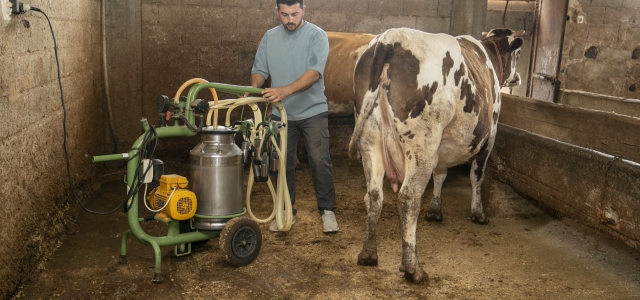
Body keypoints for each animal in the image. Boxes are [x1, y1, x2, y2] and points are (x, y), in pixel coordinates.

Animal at [348, 27, 524, 282]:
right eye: (518, 54)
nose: (518, 78)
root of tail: (390, 38)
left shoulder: (442, 147)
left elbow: (440, 175)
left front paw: (435, 210)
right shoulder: (489, 136)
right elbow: (476, 177)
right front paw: (478, 213)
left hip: (370, 139)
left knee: (373, 196)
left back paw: (368, 254)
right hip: (422, 143)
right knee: (408, 198)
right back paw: (413, 268)